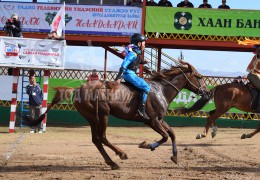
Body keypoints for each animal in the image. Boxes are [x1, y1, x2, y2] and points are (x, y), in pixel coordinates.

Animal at [24, 61, 209, 169]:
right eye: (199, 77)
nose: (206, 93)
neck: (160, 89)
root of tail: (78, 89)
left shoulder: (160, 120)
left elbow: (172, 134)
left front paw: (175, 157)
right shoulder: (152, 121)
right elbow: (164, 136)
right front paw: (146, 145)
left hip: (92, 118)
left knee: (96, 140)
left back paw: (112, 162)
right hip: (103, 116)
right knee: (103, 138)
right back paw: (121, 154)